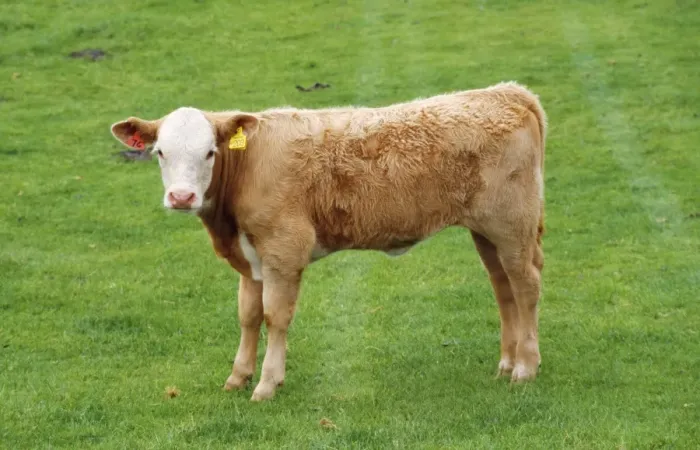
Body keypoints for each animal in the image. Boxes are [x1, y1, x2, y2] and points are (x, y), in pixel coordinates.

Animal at [110, 81, 547, 401]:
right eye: (160, 152)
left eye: (209, 152)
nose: (182, 197)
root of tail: (507, 92)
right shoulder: (251, 260)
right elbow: (248, 315)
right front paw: (238, 376)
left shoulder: (285, 250)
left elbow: (275, 316)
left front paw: (267, 384)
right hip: (487, 233)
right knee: (504, 289)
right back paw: (506, 364)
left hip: (512, 226)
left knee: (525, 286)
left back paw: (525, 368)